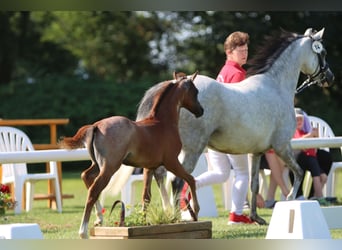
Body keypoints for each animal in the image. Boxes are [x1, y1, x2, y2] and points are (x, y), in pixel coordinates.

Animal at [109, 27, 334, 225]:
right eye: (322, 52)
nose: (329, 78)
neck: (275, 87)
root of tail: (171, 87)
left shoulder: (257, 152)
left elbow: (254, 184)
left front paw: (256, 217)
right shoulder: (282, 146)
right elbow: (298, 172)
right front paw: (289, 200)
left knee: (160, 177)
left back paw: (166, 213)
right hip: (191, 150)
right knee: (176, 180)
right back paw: (176, 216)